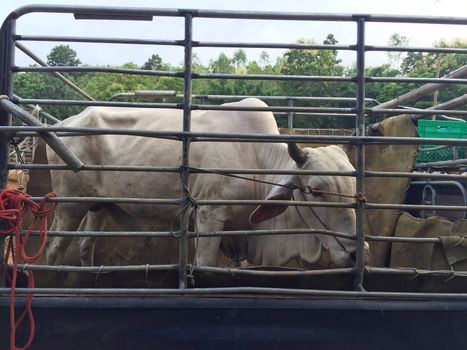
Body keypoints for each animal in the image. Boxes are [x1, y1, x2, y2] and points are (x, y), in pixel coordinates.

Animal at [45, 98, 366, 268]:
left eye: (353, 191)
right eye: (313, 190)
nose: (356, 253)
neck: (256, 159)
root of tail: (63, 122)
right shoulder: (210, 216)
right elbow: (205, 265)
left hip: (97, 207)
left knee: (86, 245)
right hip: (70, 206)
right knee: (55, 248)